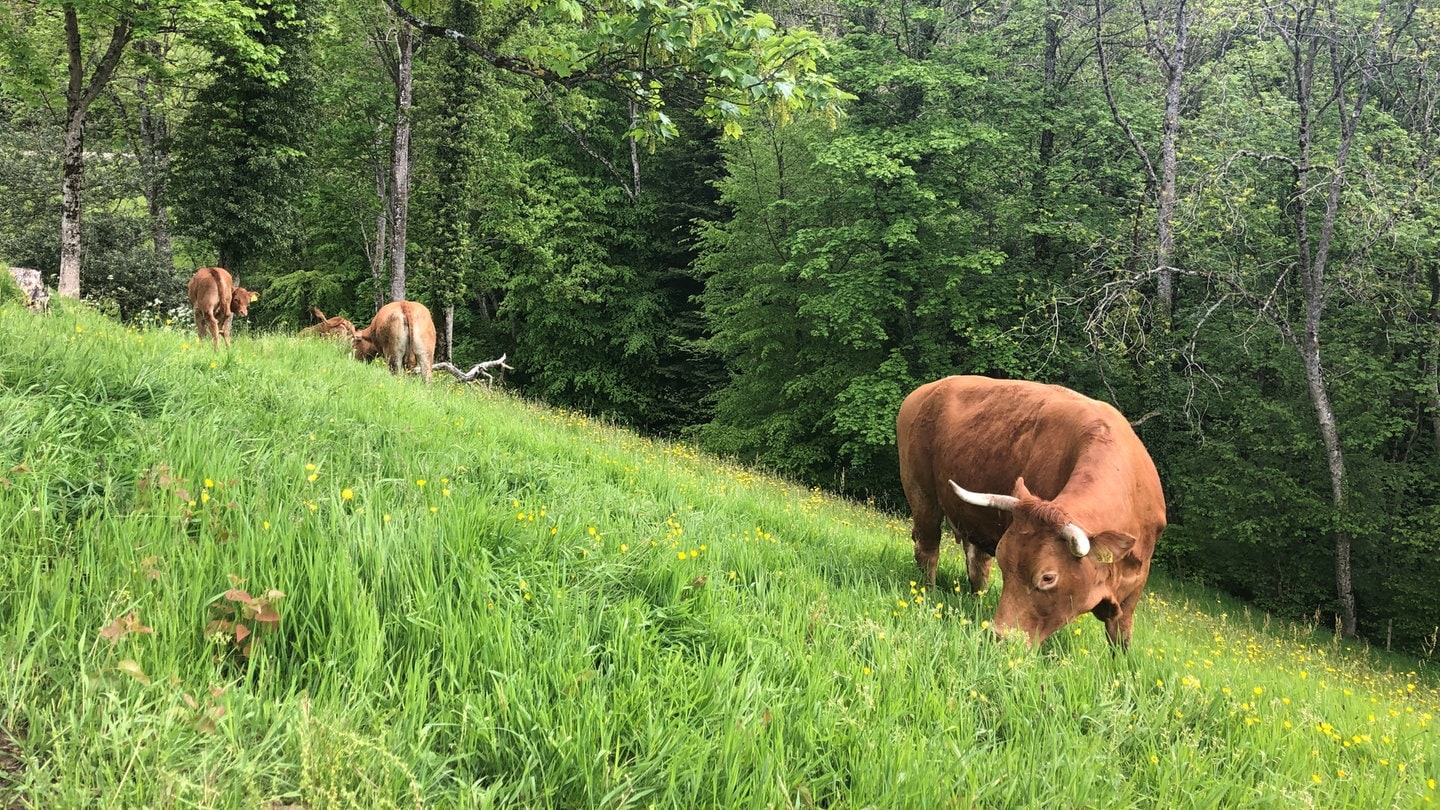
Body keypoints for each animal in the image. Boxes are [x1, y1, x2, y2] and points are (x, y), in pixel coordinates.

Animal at [898, 374, 1169, 645]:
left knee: (977, 563)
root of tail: (928, 389)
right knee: (928, 550)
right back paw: (928, 595)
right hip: (922, 496)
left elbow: (1121, 635)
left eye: (1048, 577)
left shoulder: (1135, 583)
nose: (1002, 638)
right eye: (1005, 565)